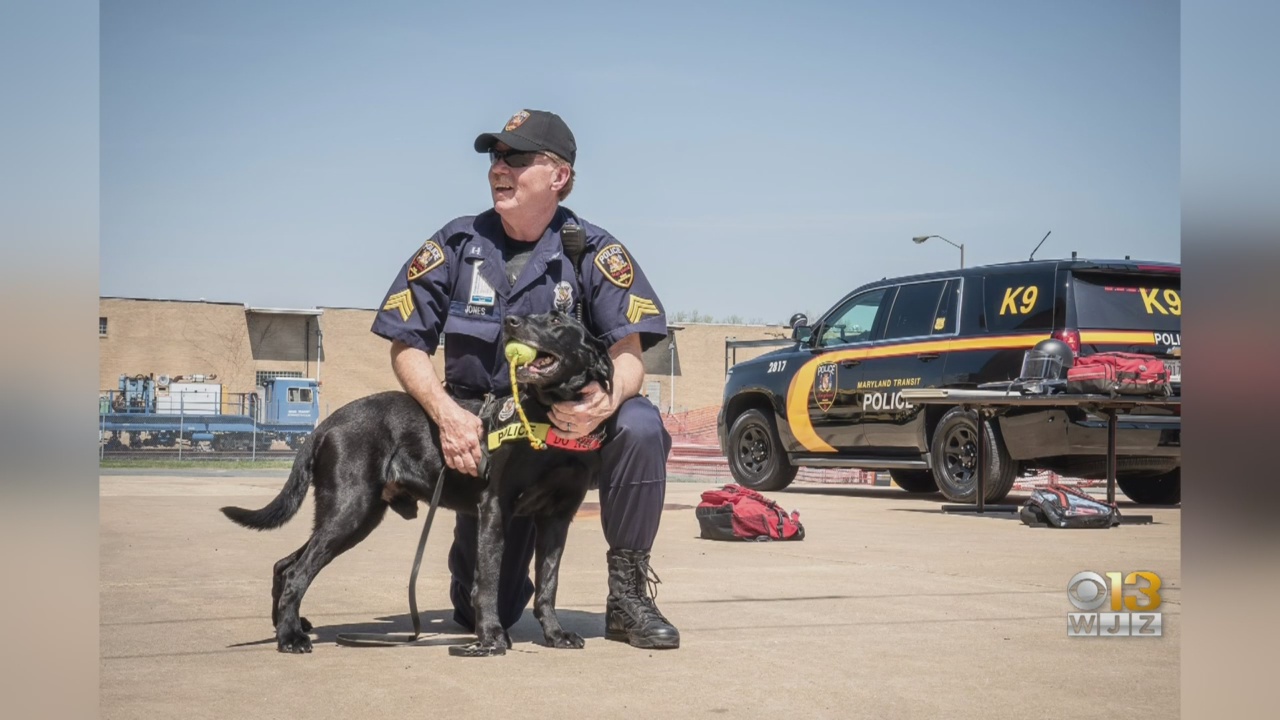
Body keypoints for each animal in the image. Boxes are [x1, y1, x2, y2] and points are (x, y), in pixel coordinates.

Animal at [221, 308, 614, 650]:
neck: (548, 420)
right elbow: (488, 580)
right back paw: (291, 638)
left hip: (358, 515)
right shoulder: (494, 509)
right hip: (350, 509)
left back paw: (287, 627)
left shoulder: (557, 517)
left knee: (285, 564)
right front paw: (491, 637)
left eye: (556, 320)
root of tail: (326, 424)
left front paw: (556, 634)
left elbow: (549, 582)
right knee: (296, 572)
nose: (511, 321)